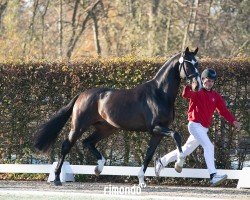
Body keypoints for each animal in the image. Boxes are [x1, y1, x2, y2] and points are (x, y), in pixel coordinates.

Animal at [34, 46, 201, 186]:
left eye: (197, 64)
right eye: (188, 64)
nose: (197, 85)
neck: (159, 93)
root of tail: (82, 94)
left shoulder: (157, 132)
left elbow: (148, 154)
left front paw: (142, 181)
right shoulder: (156, 127)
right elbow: (177, 135)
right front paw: (179, 165)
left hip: (106, 128)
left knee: (88, 142)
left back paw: (99, 168)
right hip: (78, 126)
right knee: (66, 146)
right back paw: (57, 178)